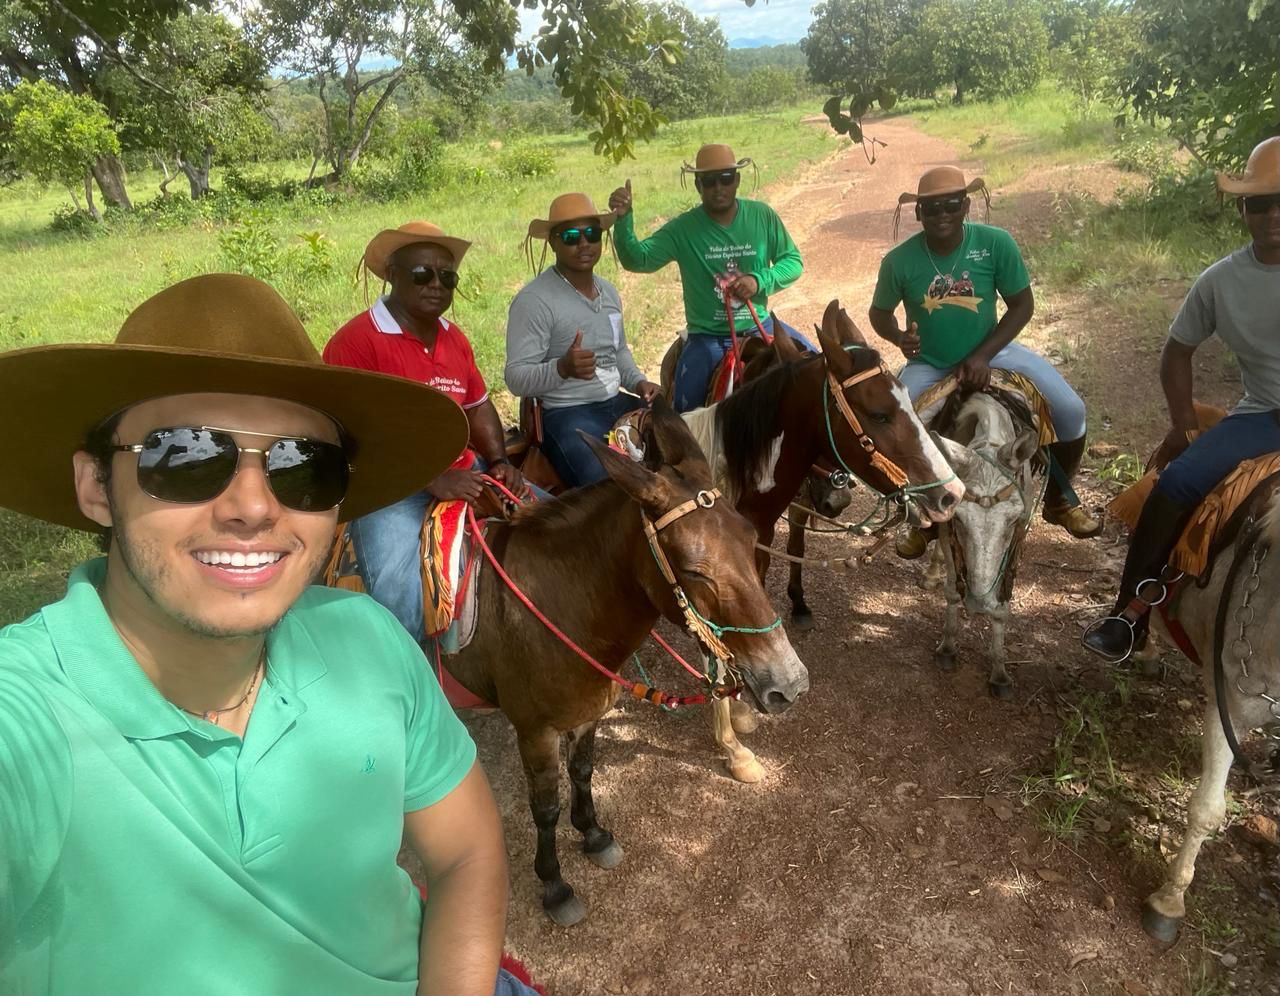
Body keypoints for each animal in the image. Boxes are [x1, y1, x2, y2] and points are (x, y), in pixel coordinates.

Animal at [445, 396, 803, 921]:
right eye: (695, 571)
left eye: (748, 536)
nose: (791, 683)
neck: (558, 603)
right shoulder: (534, 731)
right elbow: (545, 807)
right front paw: (555, 883)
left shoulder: (588, 712)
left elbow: (583, 772)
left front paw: (593, 835)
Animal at [926, 391, 1044, 696]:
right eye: (960, 519)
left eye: (1013, 520)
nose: (979, 604)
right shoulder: (948, 531)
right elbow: (952, 590)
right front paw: (947, 648)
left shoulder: (1016, 542)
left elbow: (1003, 605)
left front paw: (999, 673)